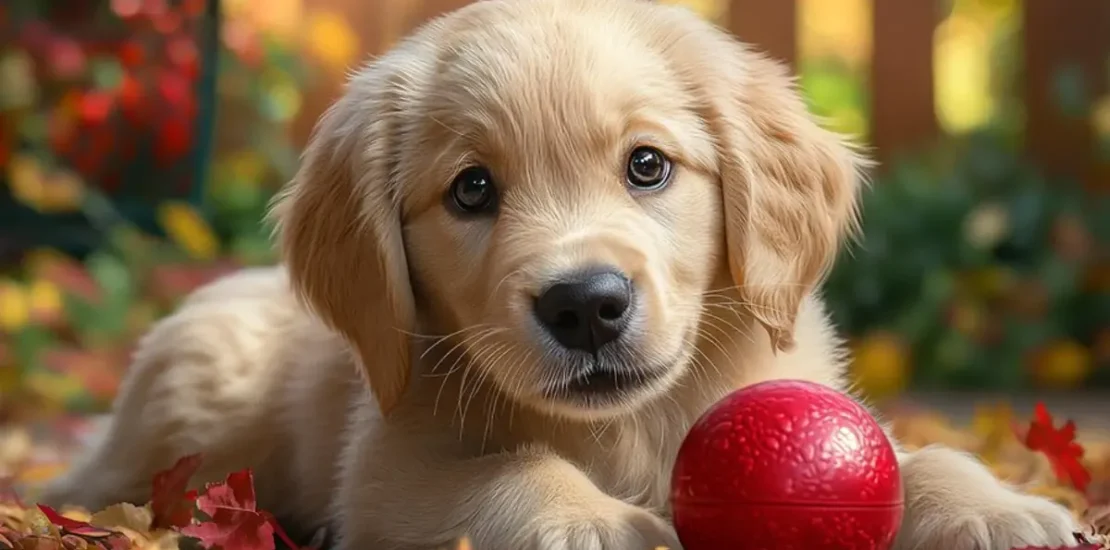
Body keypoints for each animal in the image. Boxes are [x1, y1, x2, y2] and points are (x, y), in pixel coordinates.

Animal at [41, 0, 1074, 548]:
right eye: (471, 190)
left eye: (648, 165)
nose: (586, 306)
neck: (631, 429)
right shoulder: (385, 476)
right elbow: (506, 468)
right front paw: (593, 522)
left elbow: (917, 452)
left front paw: (994, 510)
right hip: (191, 401)